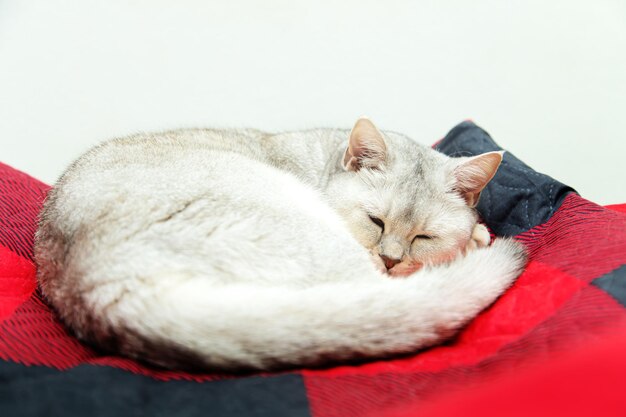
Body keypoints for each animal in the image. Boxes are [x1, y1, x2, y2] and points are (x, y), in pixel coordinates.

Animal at [33, 117, 520, 370]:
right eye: (375, 221)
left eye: (423, 236)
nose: (390, 259)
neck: (322, 160)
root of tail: (101, 283)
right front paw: (475, 237)